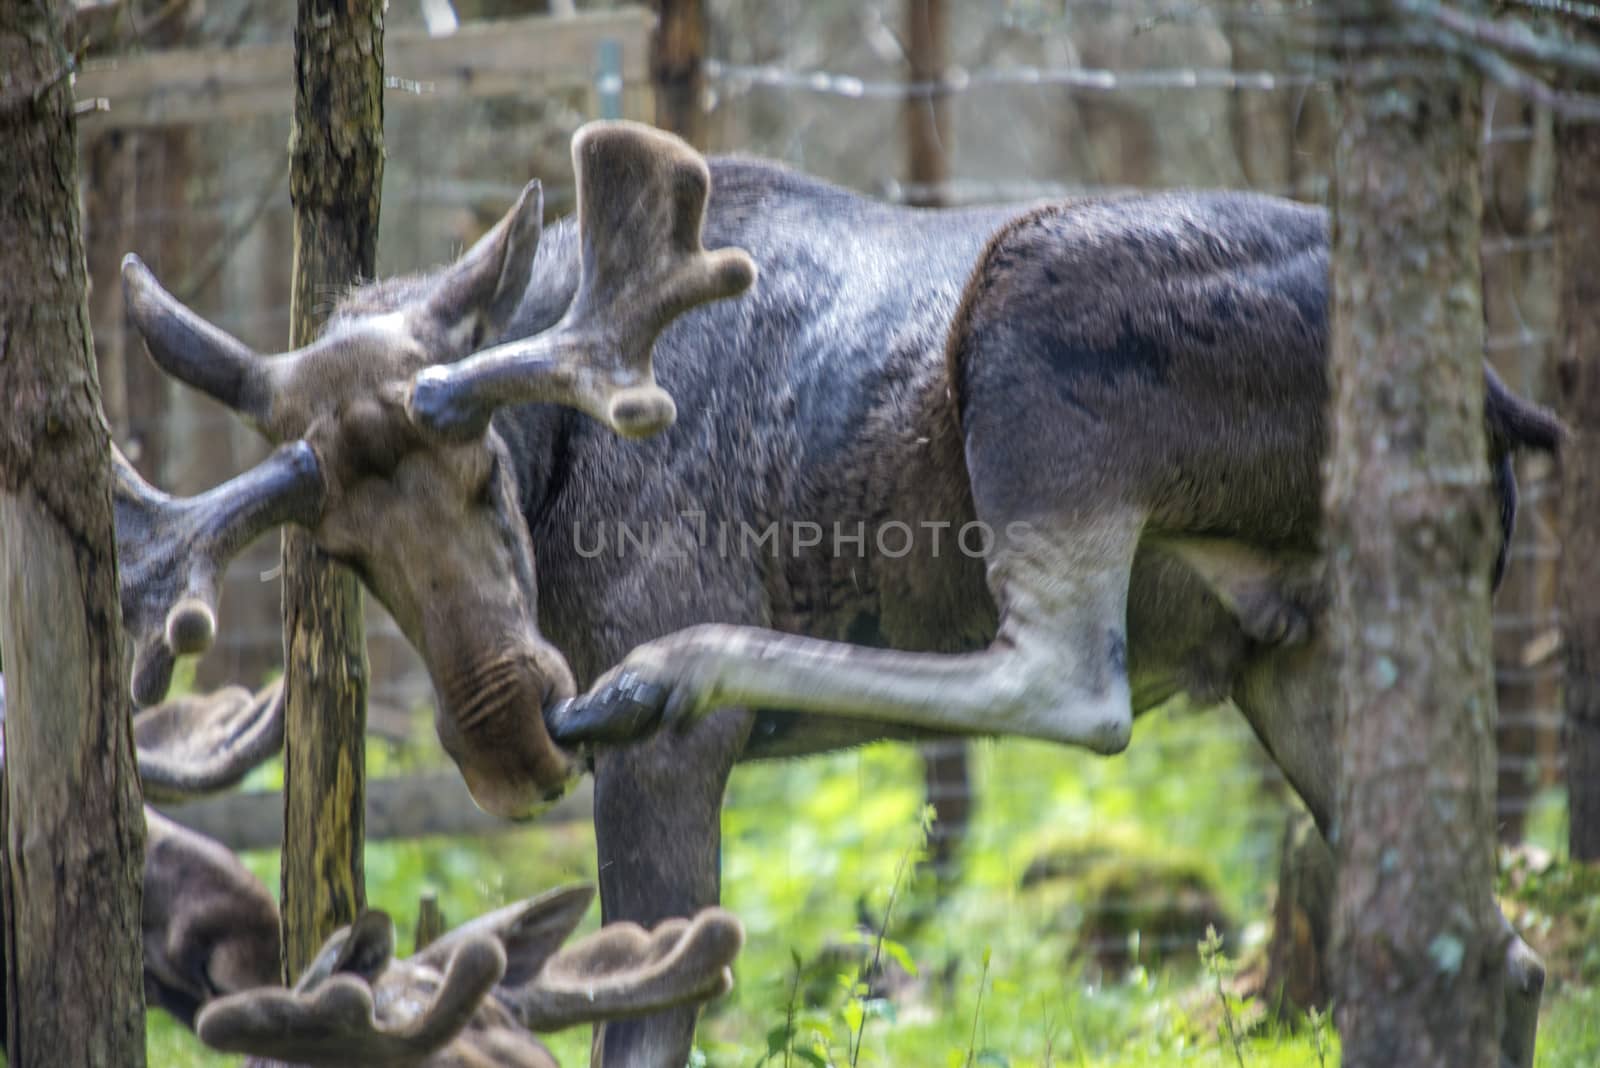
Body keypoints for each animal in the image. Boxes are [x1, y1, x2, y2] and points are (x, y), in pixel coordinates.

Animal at [116, 120, 1561, 1061]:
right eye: (339, 549)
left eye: (483, 476)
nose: (510, 746)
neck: (569, 429)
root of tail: (1499, 397)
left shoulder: (668, 770)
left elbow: (651, 1011)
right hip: (1301, 649)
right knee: (1502, 953)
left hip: (1036, 351)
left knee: (1067, 682)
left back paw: (671, 669)